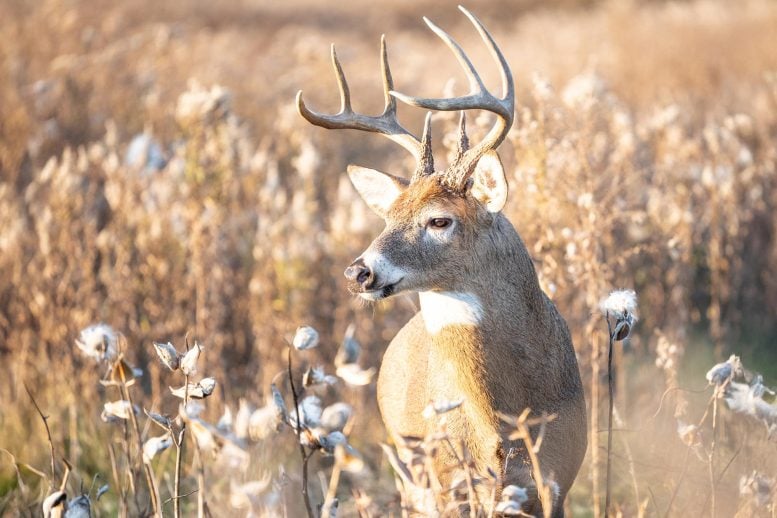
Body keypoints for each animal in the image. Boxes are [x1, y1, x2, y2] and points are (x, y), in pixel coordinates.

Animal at [296, 6, 587, 517]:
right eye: (388, 215)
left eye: (439, 220)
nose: (358, 272)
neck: (506, 425)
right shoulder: (452, 479)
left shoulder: (557, 481)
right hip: (411, 470)